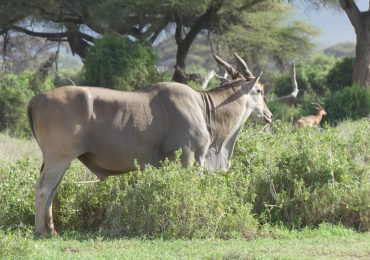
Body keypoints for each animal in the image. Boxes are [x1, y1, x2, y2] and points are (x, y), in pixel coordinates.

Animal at [28, 52, 272, 236]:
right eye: (259, 91)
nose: (269, 116)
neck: (204, 108)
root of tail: (36, 99)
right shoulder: (189, 158)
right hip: (59, 158)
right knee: (43, 189)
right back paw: (42, 231)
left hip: (57, 160)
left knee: (52, 189)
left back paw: (52, 230)